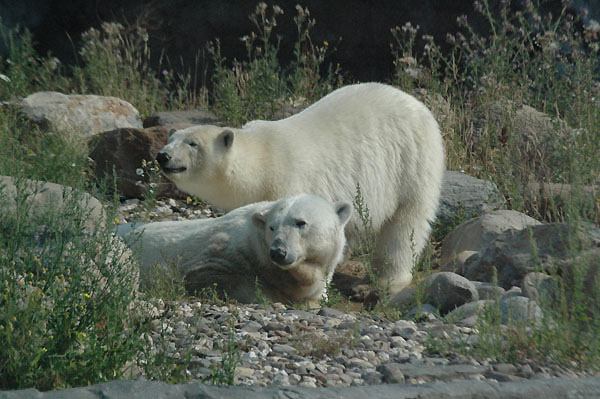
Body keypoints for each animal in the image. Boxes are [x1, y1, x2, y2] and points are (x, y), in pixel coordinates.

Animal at [156, 82, 446, 294]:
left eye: (192, 143)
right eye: (172, 138)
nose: (162, 156)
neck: (261, 161)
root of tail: (420, 106)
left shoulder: (287, 181)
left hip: (411, 161)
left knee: (406, 223)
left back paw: (388, 280)